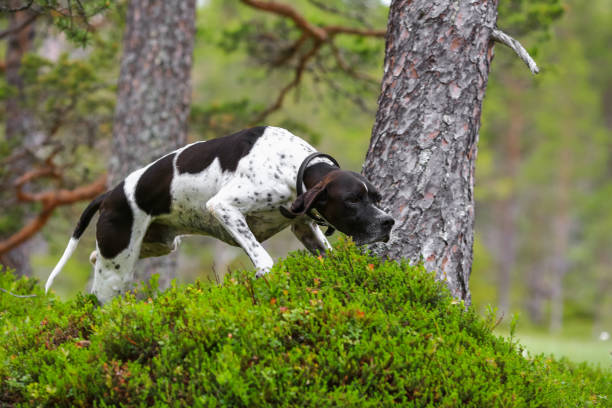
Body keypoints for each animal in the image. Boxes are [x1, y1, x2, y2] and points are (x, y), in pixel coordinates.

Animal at [45, 126, 394, 302]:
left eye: (376, 197)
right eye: (352, 200)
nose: (388, 222)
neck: (292, 164)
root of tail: (109, 194)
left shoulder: (305, 228)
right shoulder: (224, 207)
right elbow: (264, 259)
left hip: (155, 245)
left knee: (94, 256)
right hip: (116, 272)